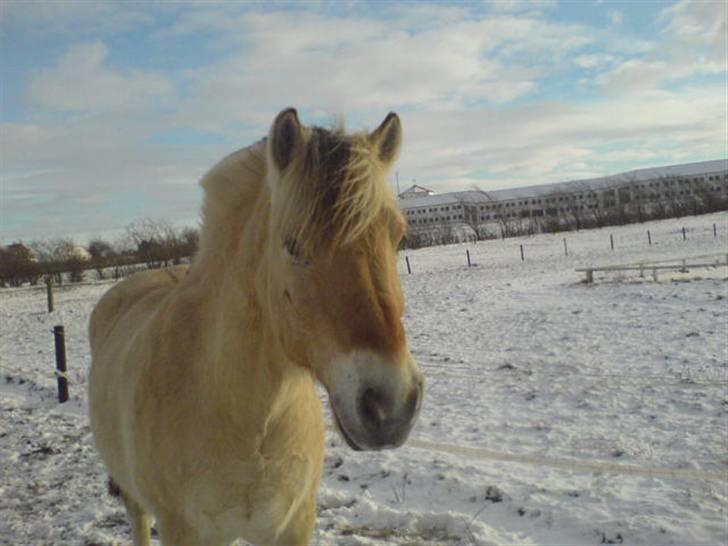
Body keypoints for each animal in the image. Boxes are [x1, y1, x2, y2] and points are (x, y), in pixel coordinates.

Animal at [88, 107, 424, 544]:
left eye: (398, 235)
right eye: (293, 245)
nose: (390, 406)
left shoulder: (291, 526)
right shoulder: (183, 531)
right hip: (134, 500)